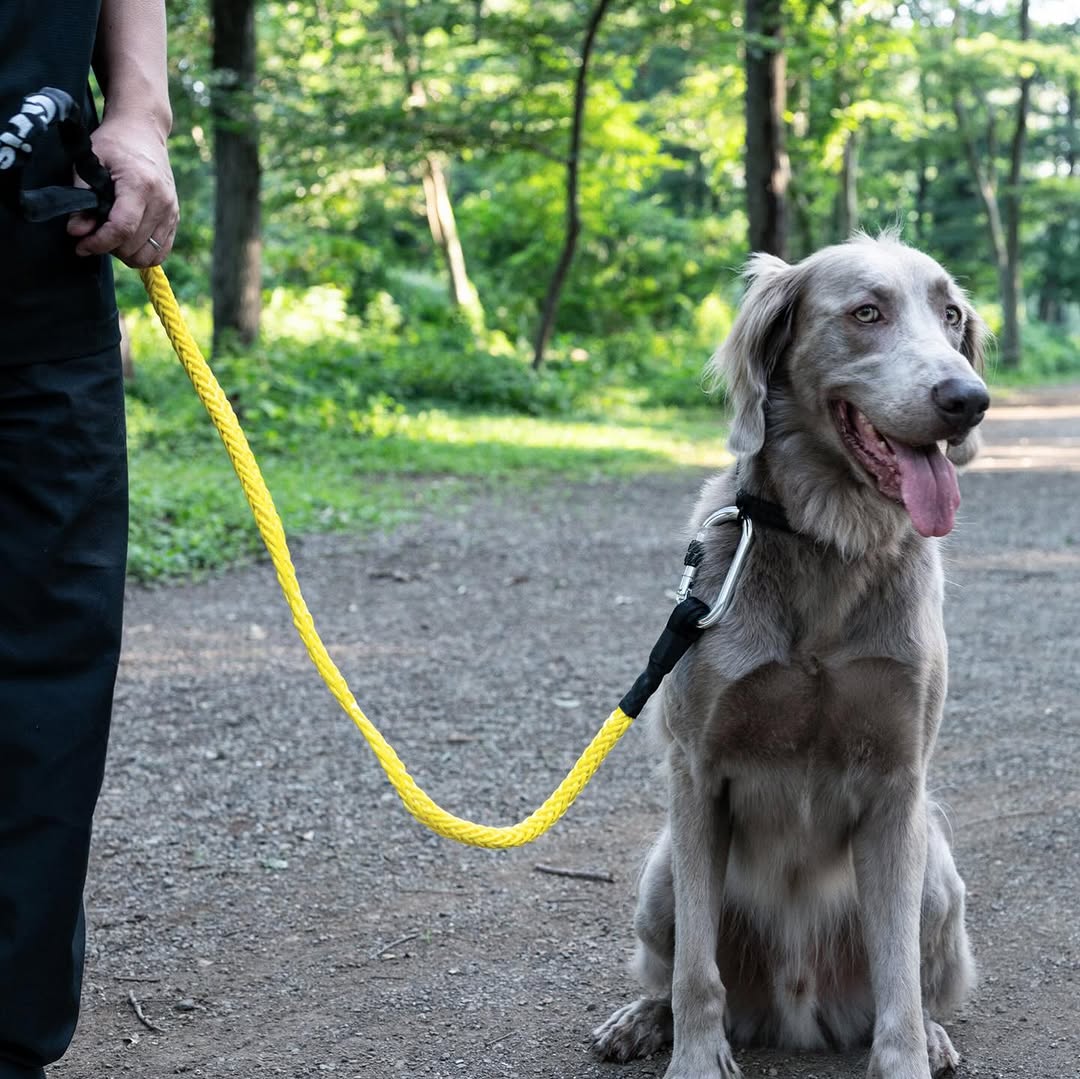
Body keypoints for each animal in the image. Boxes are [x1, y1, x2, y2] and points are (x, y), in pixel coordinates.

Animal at [591, 234, 989, 1079]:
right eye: (866, 312)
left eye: (951, 315)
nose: (968, 398)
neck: (829, 539)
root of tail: (796, 1011)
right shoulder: (697, 771)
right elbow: (696, 971)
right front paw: (696, 1058)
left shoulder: (899, 781)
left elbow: (900, 977)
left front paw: (907, 1057)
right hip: (660, 873)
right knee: (672, 969)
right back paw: (641, 1020)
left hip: (939, 873)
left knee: (918, 978)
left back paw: (936, 1035)